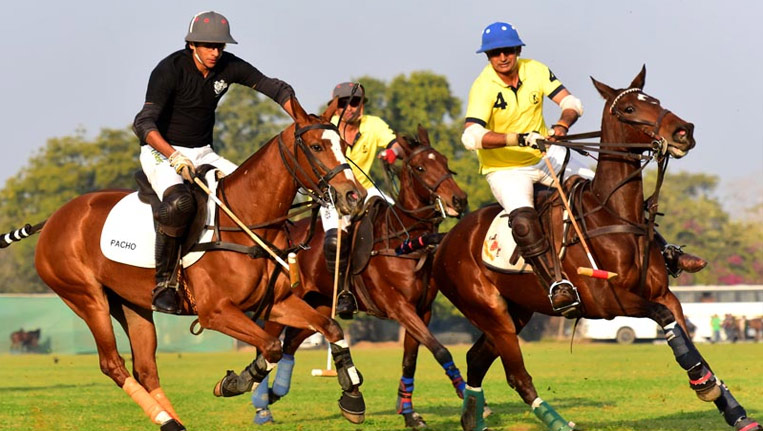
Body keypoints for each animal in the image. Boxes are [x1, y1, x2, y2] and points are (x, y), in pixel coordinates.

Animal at [0, 98, 370, 431]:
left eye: (344, 144)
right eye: (316, 146)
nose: (354, 196)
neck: (248, 218)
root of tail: (52, 220)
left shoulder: (274, 302)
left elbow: (329, 328)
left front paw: (352, 397)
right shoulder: (216, 311)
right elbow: (271, 346)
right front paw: (234, 383)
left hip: (132, 304)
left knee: (146, 368)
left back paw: (172, 419)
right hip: (86, 298)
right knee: (113, 363)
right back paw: (166, 420)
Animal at [227, 126, 468, 430]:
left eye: (446, 162)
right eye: (420, 167)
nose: (459, 200)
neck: (405, 240)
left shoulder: (422, 310)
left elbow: (410, 360)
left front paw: (410, 414)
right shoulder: (398, 307)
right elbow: (440, 350)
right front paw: (468, 396)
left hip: (317, 305)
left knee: (291, 342)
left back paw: (274, 393)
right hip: (282, 305)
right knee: (269, 344)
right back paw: (261, 406)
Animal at [432, 67, 760, 431]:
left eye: (655, 100)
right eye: (629, 108)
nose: (683, 131)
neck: (613, 214)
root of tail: (446, 241)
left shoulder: (663, 293)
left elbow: (685, 333)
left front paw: (729, 406)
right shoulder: (608, 300)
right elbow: (664, 321)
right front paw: (705, 385)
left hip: (515, 311)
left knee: (476, 358)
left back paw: (471, 418)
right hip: (488, 310)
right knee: (517, 375)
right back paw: (557, 423)